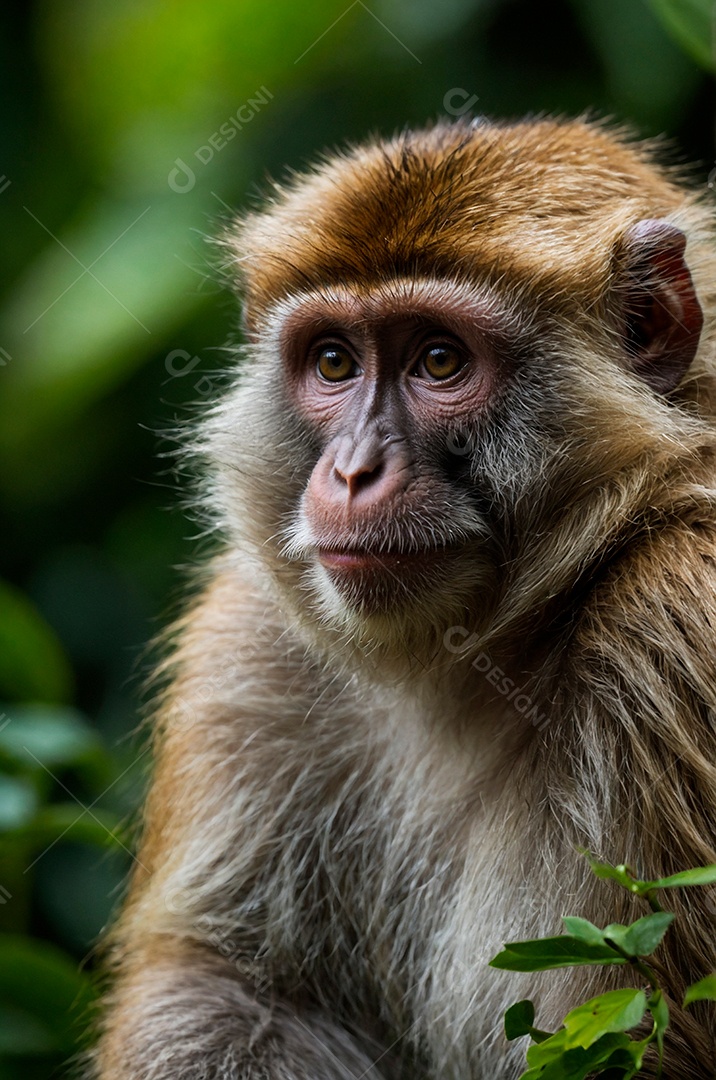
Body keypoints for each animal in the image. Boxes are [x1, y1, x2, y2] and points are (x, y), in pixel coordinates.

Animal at [93, 117, 716, 1079]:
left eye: (439, 360)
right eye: (333, 362)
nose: (352, 471)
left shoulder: (675, 624)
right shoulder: (247, 644)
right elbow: (232, 995)